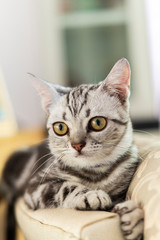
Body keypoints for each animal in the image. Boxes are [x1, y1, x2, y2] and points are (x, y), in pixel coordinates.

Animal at [1, 58, 144, 240]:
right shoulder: (35, 187)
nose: (77, 144)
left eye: (98, 122)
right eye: (60, 127)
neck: (94, 174)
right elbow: (65, 186)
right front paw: (89, 194)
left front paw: (134, 217)